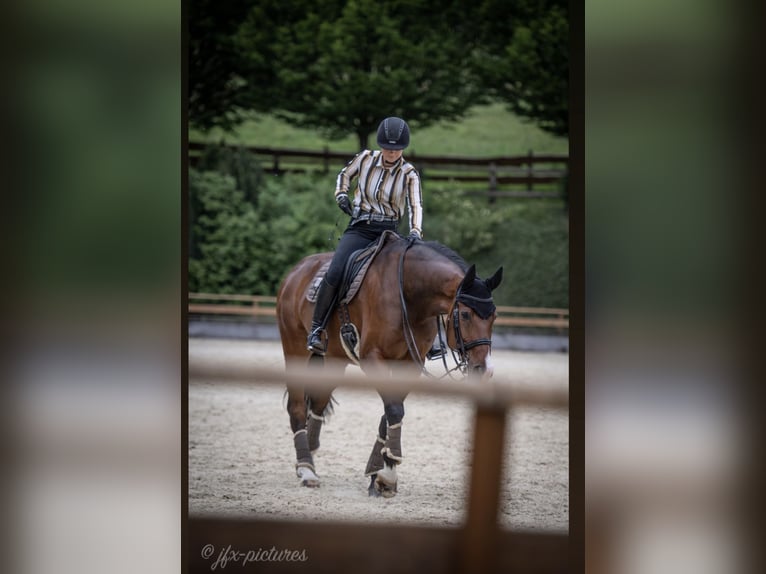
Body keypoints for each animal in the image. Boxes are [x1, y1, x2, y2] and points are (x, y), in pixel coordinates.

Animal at [276, 235, 504, 500]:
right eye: (466, 315)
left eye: (494, 316)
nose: (484, 369)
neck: (409, 294)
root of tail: (296, 271)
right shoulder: (372, 357)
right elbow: (394, 409)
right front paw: (387, 474)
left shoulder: (409, 363)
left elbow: (391, 412)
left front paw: (377, 474)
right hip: (295, 350)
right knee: (297, 407)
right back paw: (306, 470)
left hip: (334, 359)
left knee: (318, 404)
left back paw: (310, 458)